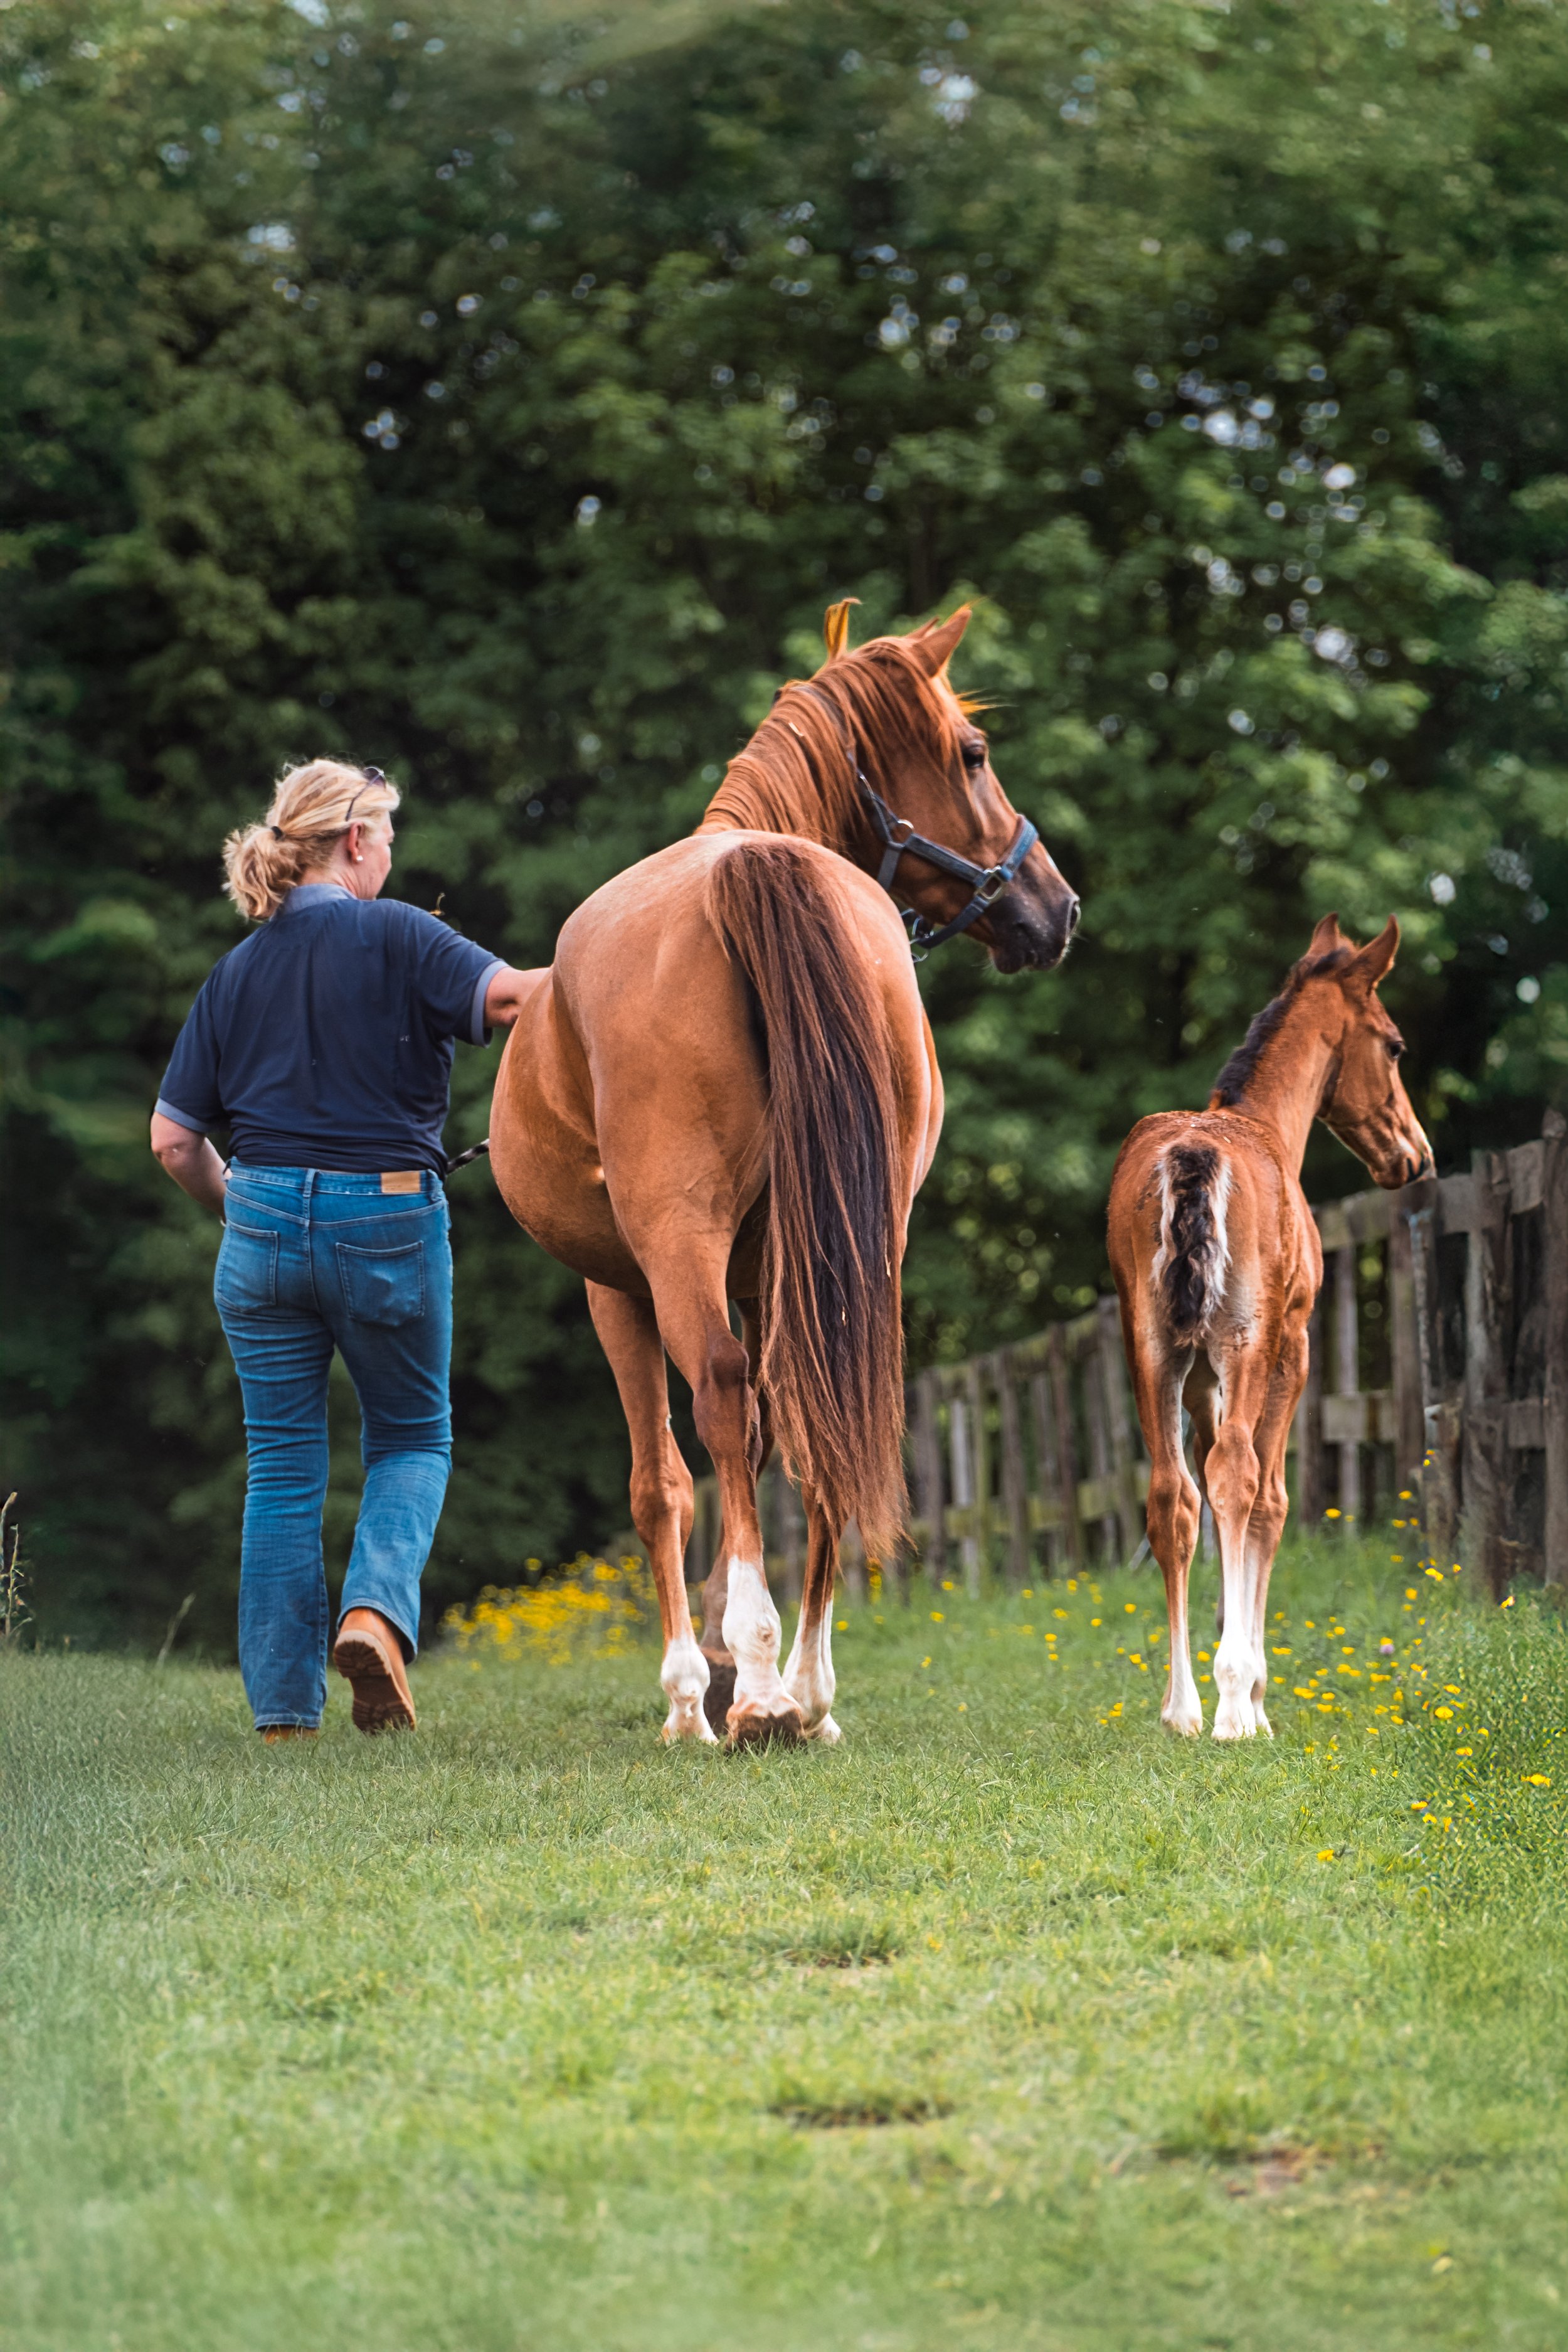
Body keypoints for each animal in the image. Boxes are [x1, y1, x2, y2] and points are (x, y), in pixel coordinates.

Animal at [489, 603, 1081, 1746]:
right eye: (975, 753)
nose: (1058, 908)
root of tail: (751, 868)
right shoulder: (768, 1262)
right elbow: (766, 1443)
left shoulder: (620, 1285)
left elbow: (666, 1479)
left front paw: (695, 1686)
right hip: (846, 1239)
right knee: (822, 1416)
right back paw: (807, 1686)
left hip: (678, 1244)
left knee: (718, 1405)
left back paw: (759, 1685)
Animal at [1106, 914, 1433, 1742]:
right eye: (1394, 1045)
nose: (1413, 1155)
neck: (1264, 1127)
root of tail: (1192, 1157)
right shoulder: (1291, 1348)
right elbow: (1271, 1498)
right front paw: (1253, 1692)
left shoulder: (1199, 1377)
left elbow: (1205, 1497)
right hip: (1244, 1341)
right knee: (1235, 1478)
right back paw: (1226, 1706)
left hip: (1150, 1347)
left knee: (1173, 1495)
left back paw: (1182, 1707)